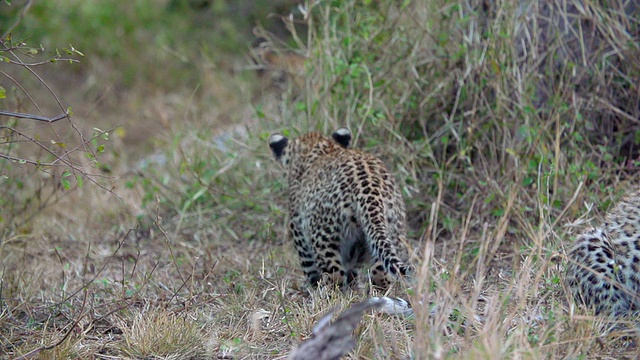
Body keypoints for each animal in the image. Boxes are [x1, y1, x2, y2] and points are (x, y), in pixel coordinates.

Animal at [268, 128, 410, 288]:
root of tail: (370, 189)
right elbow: (354, 270)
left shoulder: (298, 230)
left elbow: (310, 267)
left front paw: (313, 286)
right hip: (393, 231)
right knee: (380, 273)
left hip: (324, 236)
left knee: (335, 275)